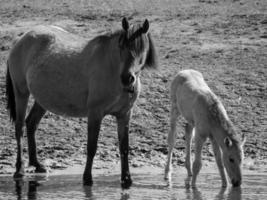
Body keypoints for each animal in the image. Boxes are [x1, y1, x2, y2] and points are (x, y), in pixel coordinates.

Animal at [5, 17, 158, 189]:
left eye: (142, 49)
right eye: (122, 46)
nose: (127, 78)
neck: (112, 68)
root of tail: (21, 38)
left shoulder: (124, 115)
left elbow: (124, 148)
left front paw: (126, 180)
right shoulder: (95, 113)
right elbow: (92, 147)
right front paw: (87, 179)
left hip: (42, 100)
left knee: (31, 123)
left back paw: (37, 165)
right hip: (21, 93)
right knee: (19, 128)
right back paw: (19, 169)